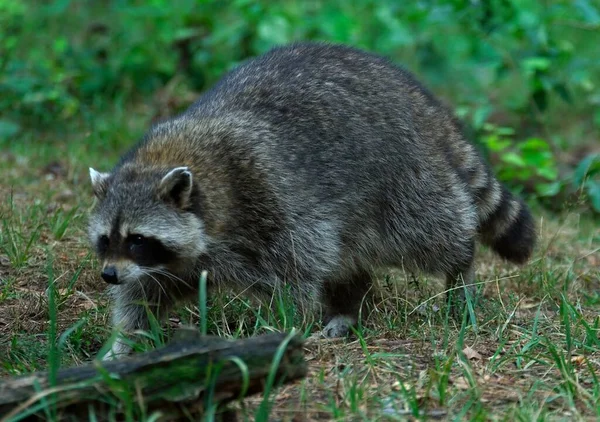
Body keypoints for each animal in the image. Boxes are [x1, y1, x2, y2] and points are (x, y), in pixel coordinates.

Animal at [88, 42, 536, 360]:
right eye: (106, 240)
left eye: (137, 239)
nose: (108, 275)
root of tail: (419, 98)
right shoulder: (165, 266)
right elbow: (142, 298)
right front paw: (122, 346)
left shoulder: (269, 199)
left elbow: (298, 270)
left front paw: (284, 330)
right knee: (347, 258)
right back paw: (349, 307)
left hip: (403, 180)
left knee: (429, 232)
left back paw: (459, 266)